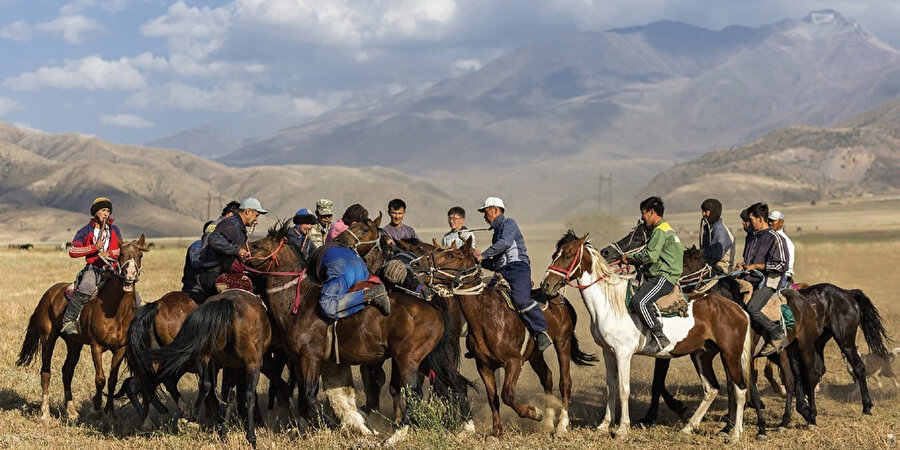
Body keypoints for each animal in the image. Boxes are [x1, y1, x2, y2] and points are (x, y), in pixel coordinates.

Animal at [17, 236, 149, 422]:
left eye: (140, 255)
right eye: (121, 254)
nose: (130, 274)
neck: (116, 311)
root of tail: (47, 295)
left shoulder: (120, 349)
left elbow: (112, 379)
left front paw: (110, 412)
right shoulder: (96, 346)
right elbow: (100, 378)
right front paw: (97, 407)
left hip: (74, 344)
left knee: (67, 371)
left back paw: (71, 411)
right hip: (48, 338)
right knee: (45, 372)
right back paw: (45, 413)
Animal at [145, 288, 268, 446]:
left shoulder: (230, 367)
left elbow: (227, 395)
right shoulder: (244, 366)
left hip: (201, 357)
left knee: (203, 384)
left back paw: (191, 418)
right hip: (250, 363)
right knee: (249, 394)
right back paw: (250, 435)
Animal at [243, 216, 474, 442]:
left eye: (257, 245)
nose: (241, 253)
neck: (300, 301)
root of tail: (432, 305)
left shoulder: (311, 357)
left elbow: (310, 397)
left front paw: (347, 426)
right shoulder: (302, 360)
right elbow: (308, 396)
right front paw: (304, 428)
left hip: (408, 358)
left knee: (415, 392)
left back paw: (397, 435)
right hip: (428, 358)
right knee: (455, 384)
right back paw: (465, 428)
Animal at [408, 237, 596, 438]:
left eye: (451, 255)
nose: (416, 263)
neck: (486, 316)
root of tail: (561, 299)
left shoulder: (513, 363)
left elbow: (507, 395)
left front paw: (533, 412)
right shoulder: (484, 366)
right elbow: (493, 397)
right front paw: (497, 431)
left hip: (563, 342)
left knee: (565, 382)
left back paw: (561, 425)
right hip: (535, 355)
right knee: (547, 377)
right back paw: (547, 423)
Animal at [540, 232, 752, 442]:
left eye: (568, 255)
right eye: (554, 255)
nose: (546, 284)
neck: (610, 303)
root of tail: (737, 308)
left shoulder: (623, 353)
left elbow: (624, 389)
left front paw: (622, 429)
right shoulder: (608, 352)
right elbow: (611, 388)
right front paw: (604, 426)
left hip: (730, 354)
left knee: (740, 389)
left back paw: (735, 434)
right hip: (701, 355)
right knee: (711, 389)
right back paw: (688, 428)